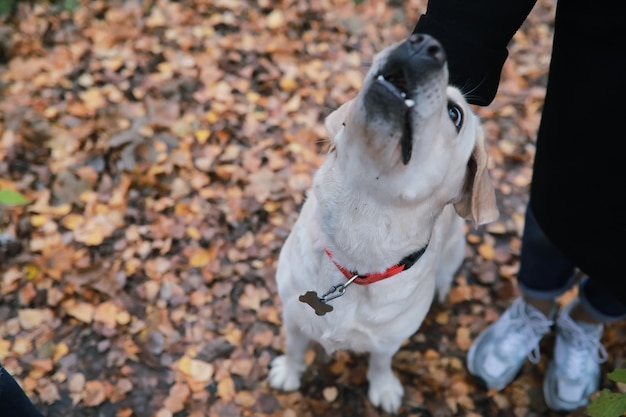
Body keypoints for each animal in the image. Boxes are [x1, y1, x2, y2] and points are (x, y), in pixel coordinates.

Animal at [268, 34, 498, 412]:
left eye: (455, 113)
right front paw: (288, 372)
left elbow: (380, 361)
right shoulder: (292, 314)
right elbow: (294, 347)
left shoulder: (389, 340)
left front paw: (383, 387)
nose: (423, 44)